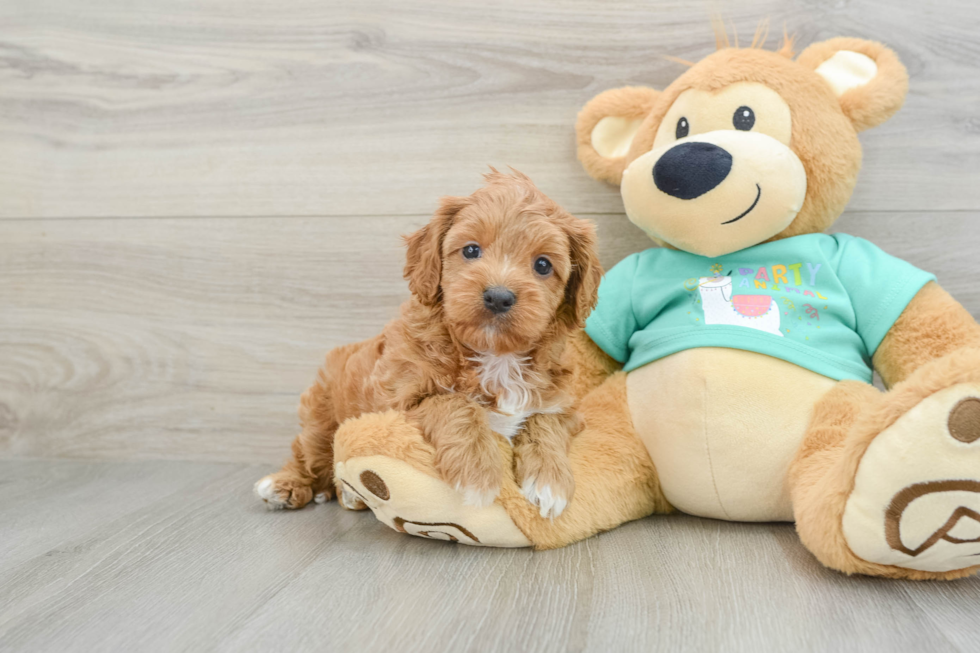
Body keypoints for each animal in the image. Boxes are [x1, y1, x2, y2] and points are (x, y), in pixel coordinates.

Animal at [251, 171, 604, 516]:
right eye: (471, 250)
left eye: (543, 265)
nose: (498, 296)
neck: (496, 356)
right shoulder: (398, 401)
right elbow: (453, 402)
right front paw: (478, 472)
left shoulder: (565, 405)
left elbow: (545, 420)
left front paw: (550, 481)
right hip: (321, 414)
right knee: (308, 452)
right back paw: (286, 485)